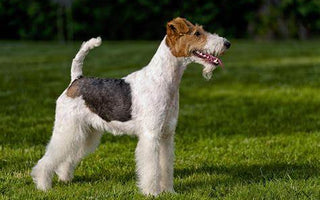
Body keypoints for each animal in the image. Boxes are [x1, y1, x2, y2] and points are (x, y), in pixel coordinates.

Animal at [31, 16, 230, 195]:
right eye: (197, 33)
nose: (227, 43)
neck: (165, 80)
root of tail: (76, 79)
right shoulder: (151, 135)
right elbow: (151, 168)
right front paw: (152, 192)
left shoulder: (166, 135)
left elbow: (165, 165)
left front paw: (169, 191)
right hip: (67, 128)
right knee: (49, 157)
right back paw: (43, 185)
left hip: (85, 132)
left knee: (68, 157)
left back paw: (65, 178)